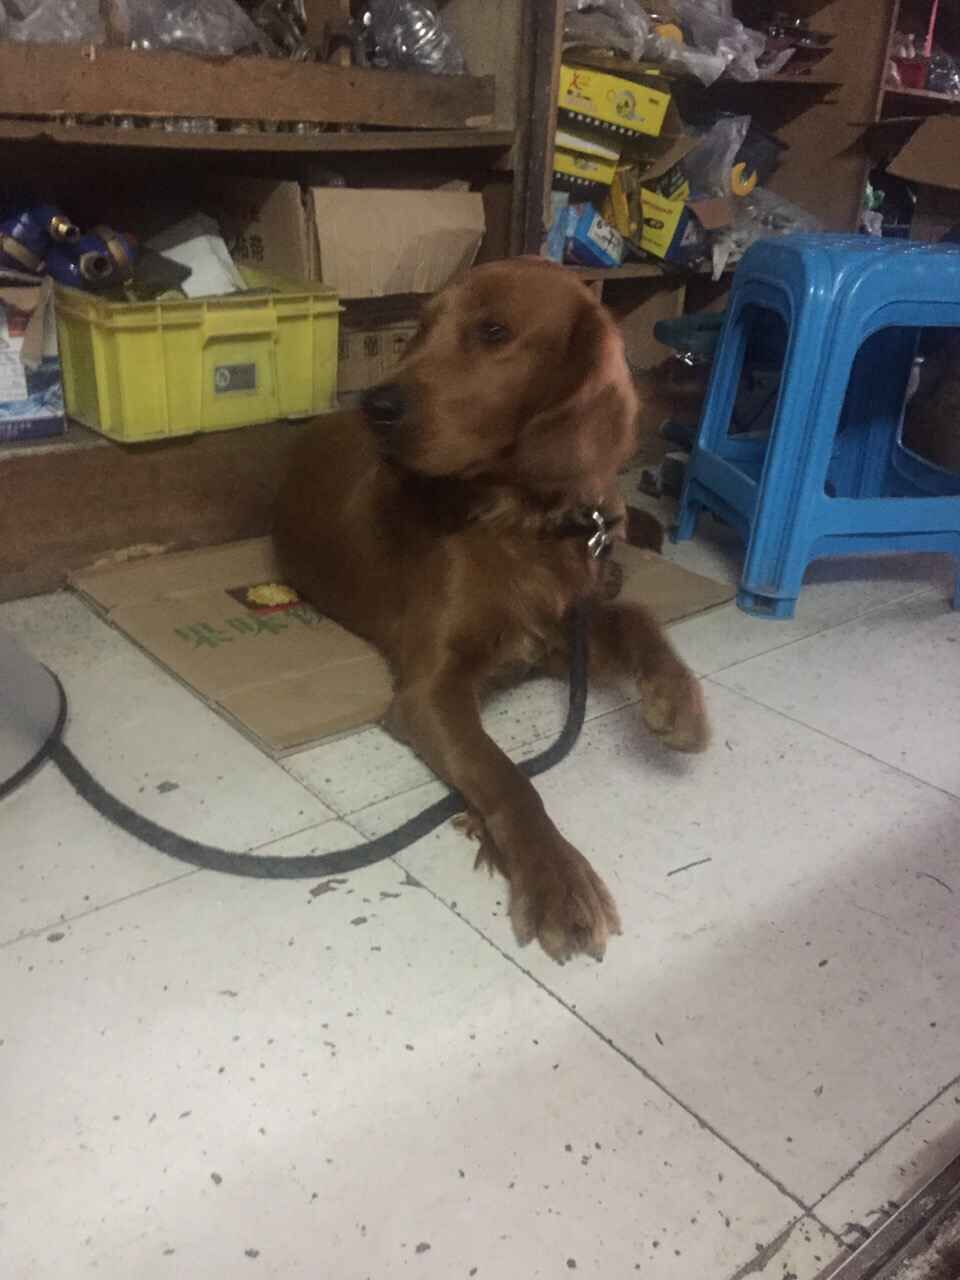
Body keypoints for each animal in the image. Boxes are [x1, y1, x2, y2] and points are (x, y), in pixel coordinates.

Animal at [274, 257, 709, 963]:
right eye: (419, 329)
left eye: (494, 331)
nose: (376, 407)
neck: (521, 518)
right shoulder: (430, 688)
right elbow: (507, 776)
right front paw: (557, 880)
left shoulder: (563, 630)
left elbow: (639, 617)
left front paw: (678, 703)